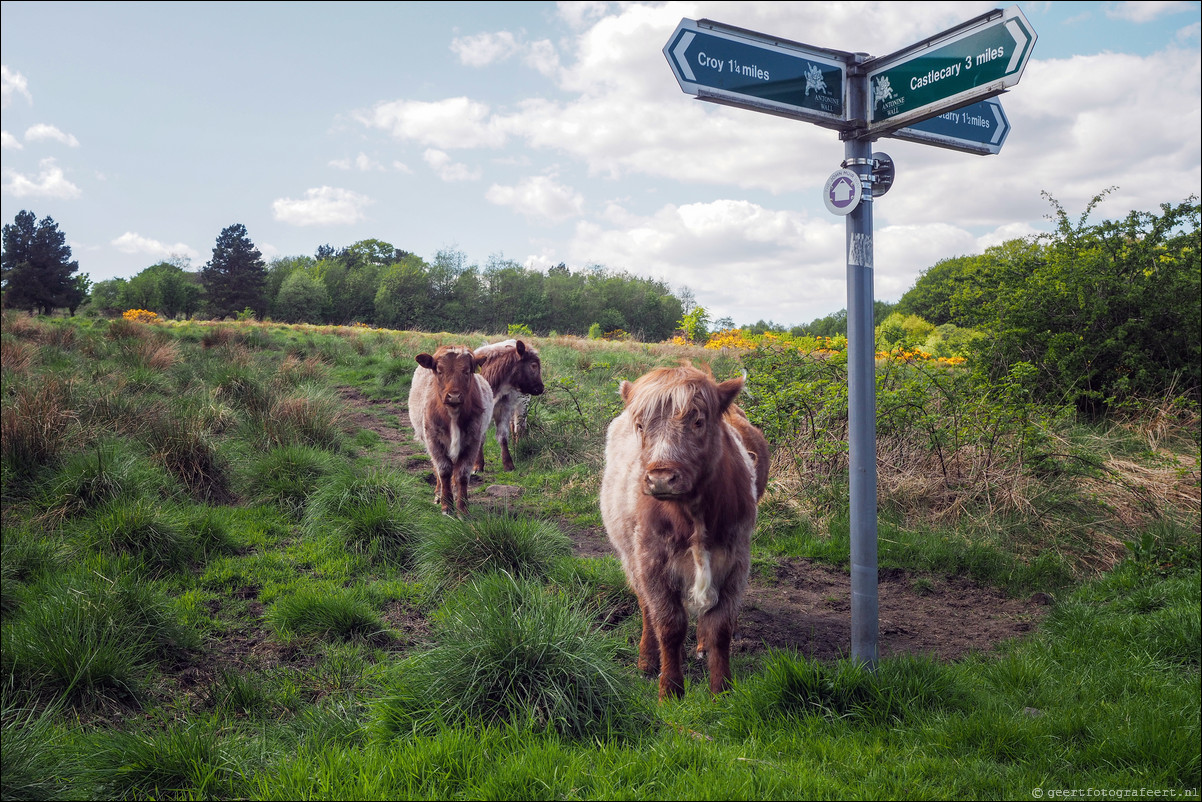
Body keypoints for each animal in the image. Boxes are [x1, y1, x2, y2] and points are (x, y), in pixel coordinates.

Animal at [408, 346, 492, 514]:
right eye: (439, 371)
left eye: (467, 371)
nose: (454, 396)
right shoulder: (433, 440)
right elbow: (444, 470)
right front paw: (446, 504)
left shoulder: (472, 441)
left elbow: (462, 474)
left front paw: (462, 507)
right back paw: (438, 494)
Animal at [473, 336, 545, 473]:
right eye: (533, 365)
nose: (541, 387)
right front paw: (478, 464)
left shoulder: (504, 409)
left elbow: (503, 436)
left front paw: (508, 463)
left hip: (522, 404)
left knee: (519, 427)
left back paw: (518, 448)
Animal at [601, 363, 769, 702]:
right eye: (641, 425)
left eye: (698, 421)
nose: (661, 478)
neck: (694, 517)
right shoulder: (651, 561)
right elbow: (669, 625)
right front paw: (670, 690)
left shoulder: (736, 561)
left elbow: (719, 627)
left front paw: (722, 690)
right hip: (630, 557)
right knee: (646, 608)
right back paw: (647, 660)